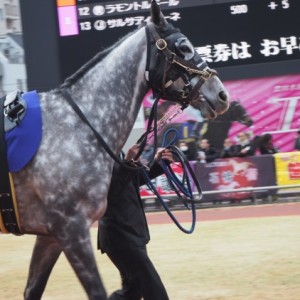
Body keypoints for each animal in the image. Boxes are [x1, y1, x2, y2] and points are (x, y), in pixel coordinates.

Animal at [9, 1, 230, 298]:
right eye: (184, 46)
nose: (222, 95)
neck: (77, 123)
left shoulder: (50, 235)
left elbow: (33, 289)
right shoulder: (72, 227)